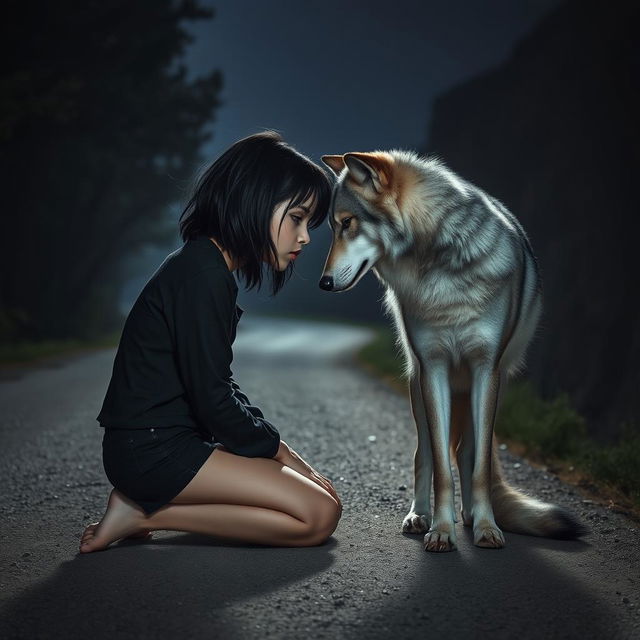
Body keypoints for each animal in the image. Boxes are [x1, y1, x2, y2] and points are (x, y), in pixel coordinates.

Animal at [318, 150, 584, 552]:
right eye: (334, 226)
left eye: (347, 223)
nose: (324, 282)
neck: (441, 267)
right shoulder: (434, 368)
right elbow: (442, 469)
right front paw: (442, 530)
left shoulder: (485, 369)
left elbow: (480, 468)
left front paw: (487, 528)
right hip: (419, 387)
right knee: (427, 454)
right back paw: (419, 516)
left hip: (484, 388)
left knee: (469, 453)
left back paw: (473, 517)